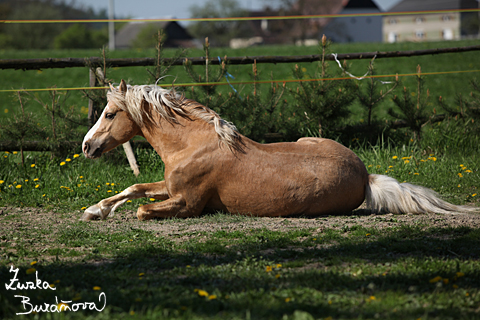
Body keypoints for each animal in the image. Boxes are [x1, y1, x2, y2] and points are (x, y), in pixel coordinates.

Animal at [80, 80, 478, 220]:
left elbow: (142, 209)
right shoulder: (169, 187)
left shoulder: (187, 203)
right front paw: (94, 210)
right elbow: (134, 188)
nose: (86, 147)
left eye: (110, 113)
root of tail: (366, 174)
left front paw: (102, 211)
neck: (193, 145)